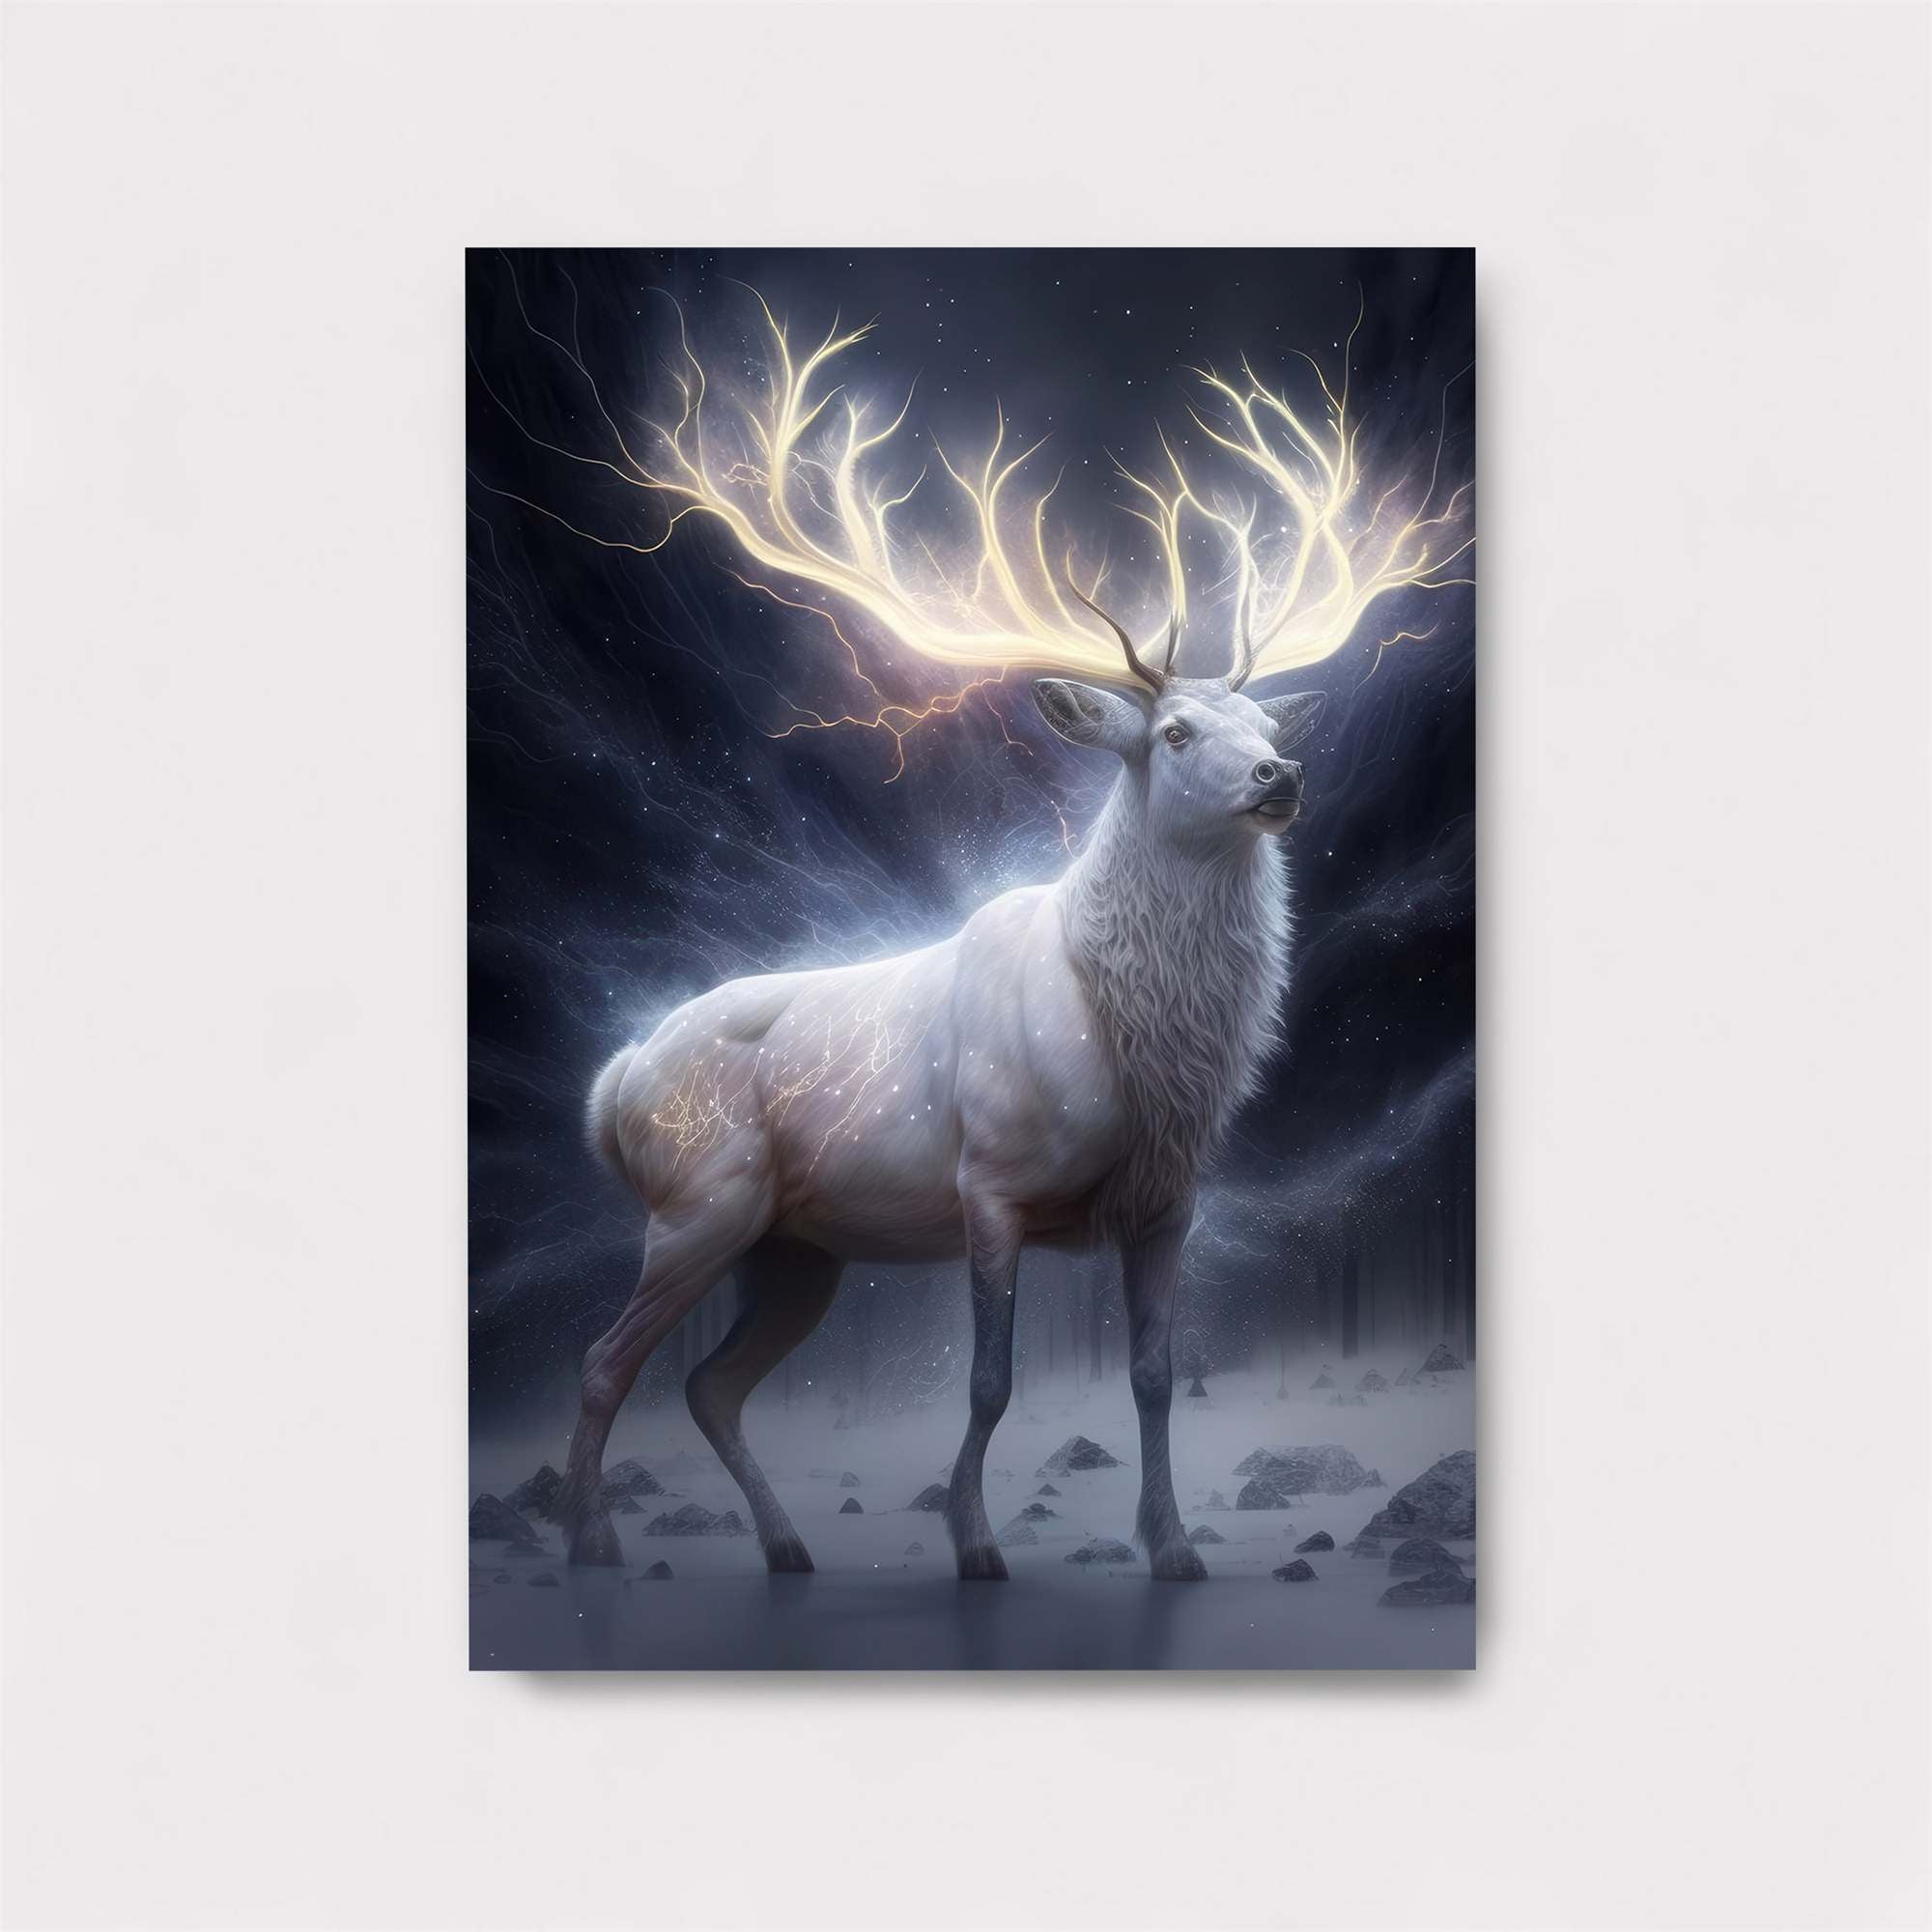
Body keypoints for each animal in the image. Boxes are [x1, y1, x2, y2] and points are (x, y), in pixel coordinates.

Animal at [532, 295, 1470, 1581]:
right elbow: (987, 1380)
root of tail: (611, 1084)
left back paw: (784, 1545)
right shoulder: (989, 1180)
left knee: (710, 1384)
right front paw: (974, 1543)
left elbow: (1154, 1375)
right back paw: (594, 1541)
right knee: (601, 1358)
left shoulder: (1167, 1202)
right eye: (1174, 733)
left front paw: (1171, 1547)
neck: (1139, 1045)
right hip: (693, 1204)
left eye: (1268, 724)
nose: (1280, 777)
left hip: (796, 1247)